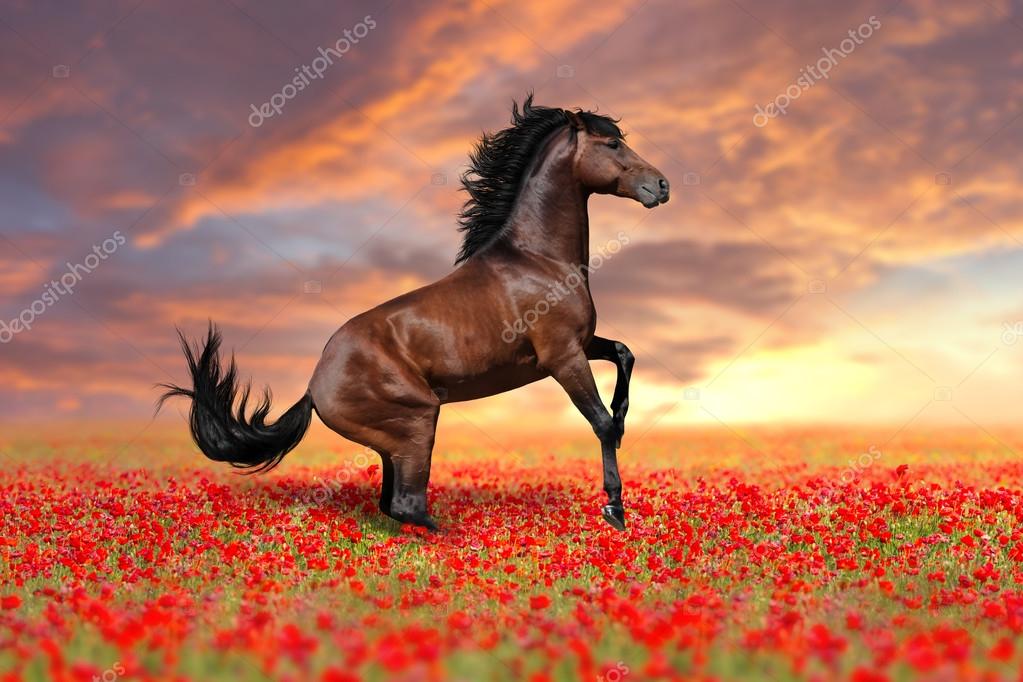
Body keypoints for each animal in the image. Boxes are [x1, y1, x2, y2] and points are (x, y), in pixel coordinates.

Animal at [160, 95, 670, 531]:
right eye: (613, 144)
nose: (661, 185)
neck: (537, 258)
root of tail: (311, 387)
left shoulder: (581, 344)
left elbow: (623, 354)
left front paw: (625, 415)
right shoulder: (561, 356)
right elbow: (599, 422)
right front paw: (615, 509)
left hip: (397, 440)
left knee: (393, 505)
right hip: (419, 421)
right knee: (407, 506)